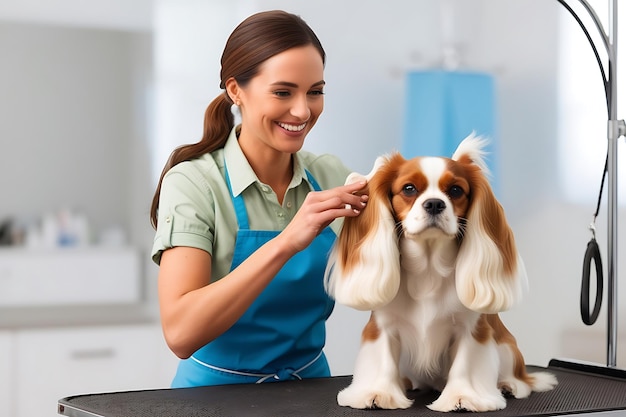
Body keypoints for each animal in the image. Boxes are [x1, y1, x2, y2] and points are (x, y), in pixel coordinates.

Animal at [324, 135, 552, 412]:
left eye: (455, 191)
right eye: (409, 189)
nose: (434, 203)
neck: (428, 267)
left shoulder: (472, 330)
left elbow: (464, 364)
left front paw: (462, 397)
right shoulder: (382, 327)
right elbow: (384, 360)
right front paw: (379, 393)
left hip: (507, 347)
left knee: (520, 376)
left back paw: (510, 384)